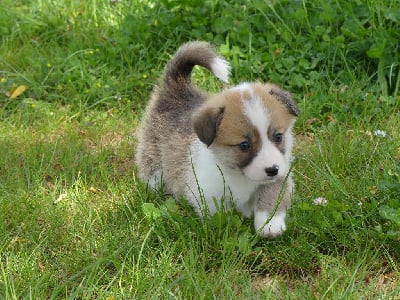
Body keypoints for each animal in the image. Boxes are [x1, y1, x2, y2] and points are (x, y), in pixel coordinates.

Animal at [136, 42, 298, 238]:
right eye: (244, 145)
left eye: (278, 136)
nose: (272, 169)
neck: (238, 174)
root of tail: (176, 88)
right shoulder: (208, 192)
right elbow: (219, 214)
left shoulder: (280, 175)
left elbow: (271, 196)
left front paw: (270, 225)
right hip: (153, 158)